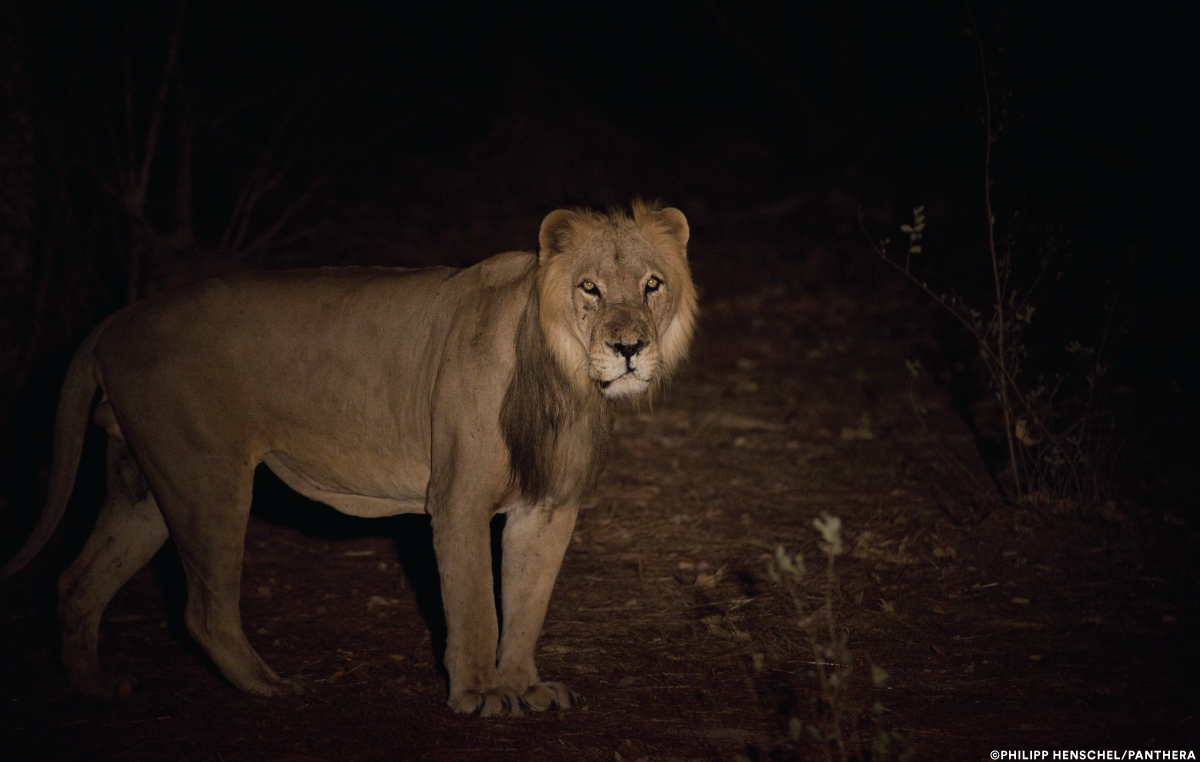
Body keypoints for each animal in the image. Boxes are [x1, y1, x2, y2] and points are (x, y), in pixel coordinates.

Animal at [0, 201, 700, 715]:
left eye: (651, 285)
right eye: (590, 288)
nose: (630, 348)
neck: (565, 382)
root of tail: (117, 319)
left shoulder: (549, 506)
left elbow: (527, 602)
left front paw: (525, 687)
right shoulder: (458, 499)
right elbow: (476, 601)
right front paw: (479, 694)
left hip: (144, 488)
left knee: (77, 582)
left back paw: (93, 687)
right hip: (207, 479)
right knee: (202, 609)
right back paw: (270, 686)